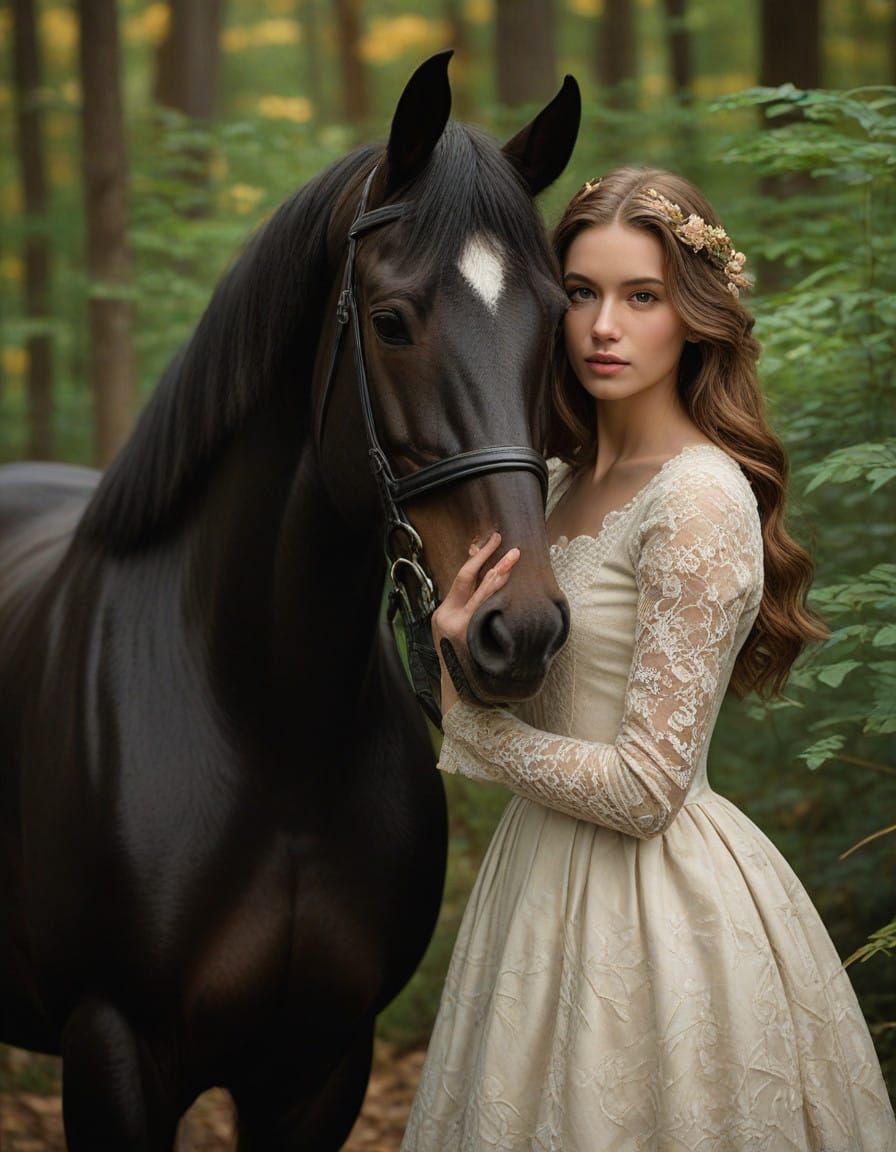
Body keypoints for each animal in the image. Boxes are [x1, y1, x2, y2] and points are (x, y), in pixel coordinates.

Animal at [0, 52, 578, 1150]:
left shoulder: (322, 1065)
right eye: (390, 322)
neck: (265, 726)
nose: (519, 629)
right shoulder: (113, 1053)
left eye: (558, 321)